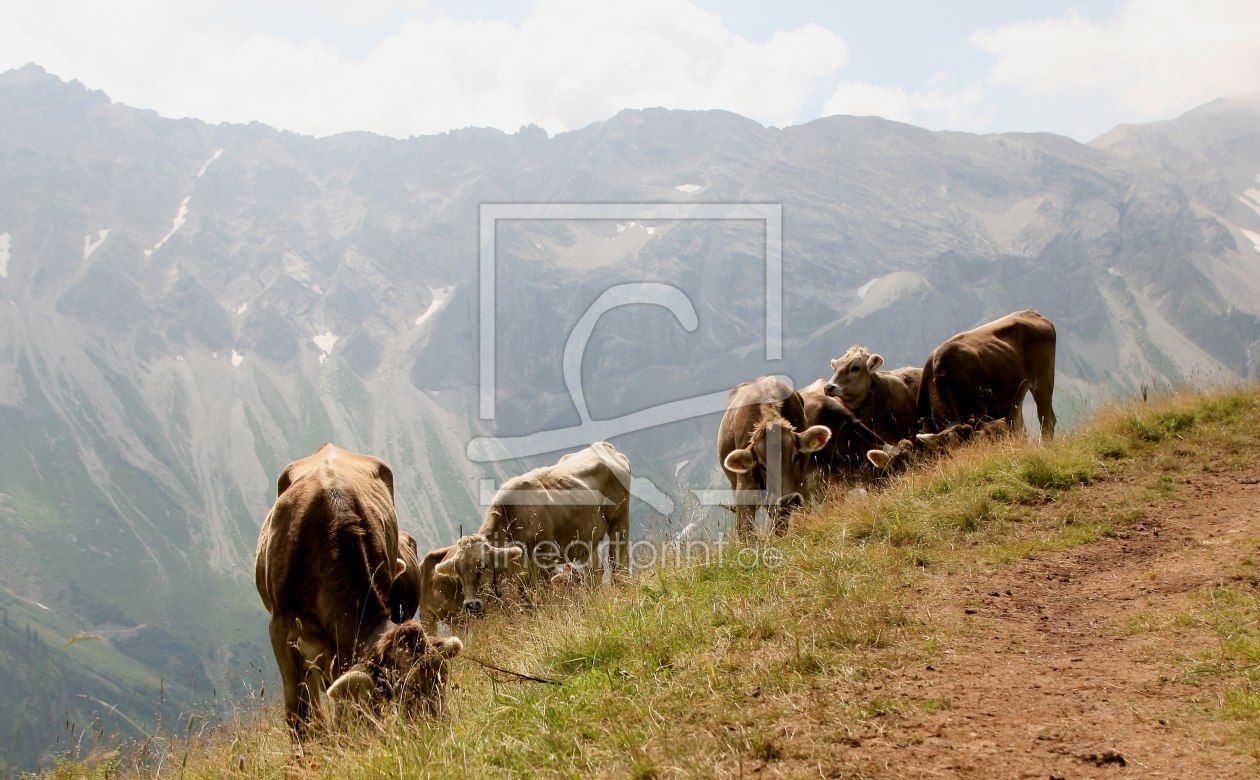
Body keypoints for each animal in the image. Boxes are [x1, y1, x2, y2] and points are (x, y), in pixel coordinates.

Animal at [435, 443, 630, 612]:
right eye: (458, 572)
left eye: (483, 566)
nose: (471, 605)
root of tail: (602, 445)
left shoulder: (544, 562)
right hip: (588, 539)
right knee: (595, 571)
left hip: (619, 523)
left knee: (620, 560)